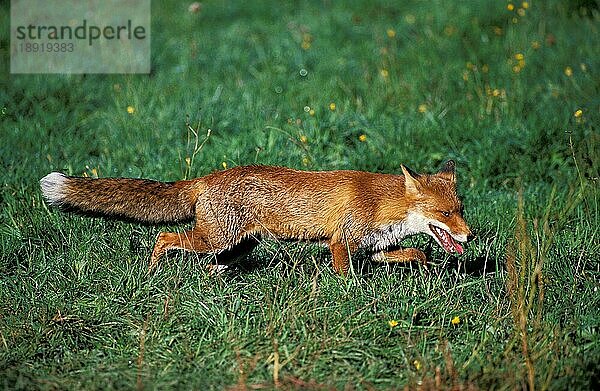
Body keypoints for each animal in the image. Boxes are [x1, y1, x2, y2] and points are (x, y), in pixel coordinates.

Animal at [39, 161, 472, 274]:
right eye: (445, 213)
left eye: (460, 211)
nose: (470, 236)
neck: (382, 204)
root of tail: (207, 178)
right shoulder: (342, 243)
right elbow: (346, 277)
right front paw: (348, 297)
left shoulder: (372, 247)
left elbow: (417, 253)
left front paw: (427, 266)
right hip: (216, 240)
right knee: (164, 239)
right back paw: (151, 272)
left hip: (237, 246)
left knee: (210, 263)